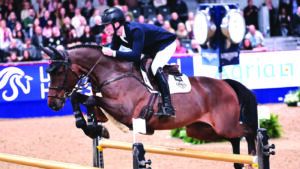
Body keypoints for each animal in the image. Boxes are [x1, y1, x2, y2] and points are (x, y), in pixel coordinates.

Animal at [44, 44, 258, 168]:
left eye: (59, 71)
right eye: (48, 72)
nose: (52, 103)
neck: (113, 73)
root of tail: (226, 84)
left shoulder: (125, 111)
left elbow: (89, 100)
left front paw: (95, 128)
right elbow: (79, 98)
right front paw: (94, 128)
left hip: (223, 125)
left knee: (250, 132)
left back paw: (254, 157)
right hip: (202, 130)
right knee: (235, 138)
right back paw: (239, 162)